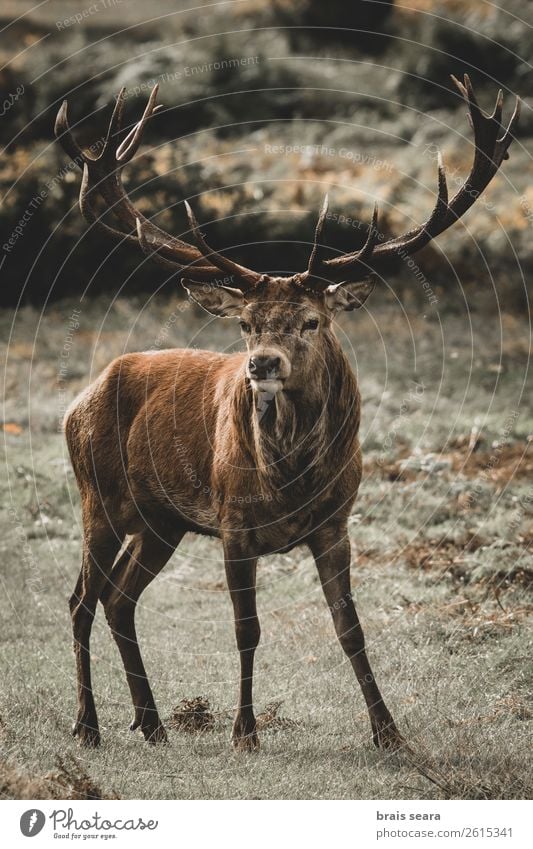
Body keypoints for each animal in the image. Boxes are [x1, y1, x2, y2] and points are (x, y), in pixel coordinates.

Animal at [56, 74, 516, 748]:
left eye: (312, 321)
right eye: (246, 323)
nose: (261, 364)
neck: (292, 478)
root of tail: (79, 399)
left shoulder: (336, 524)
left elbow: (351, 629)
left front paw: (389, 733)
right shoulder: (232, 522)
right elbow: (247, 629)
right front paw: (245, 731)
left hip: (161, 520)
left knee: (119, 597)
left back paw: (153, 723)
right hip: (98, 494)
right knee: (81, 599)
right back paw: (88, 724)